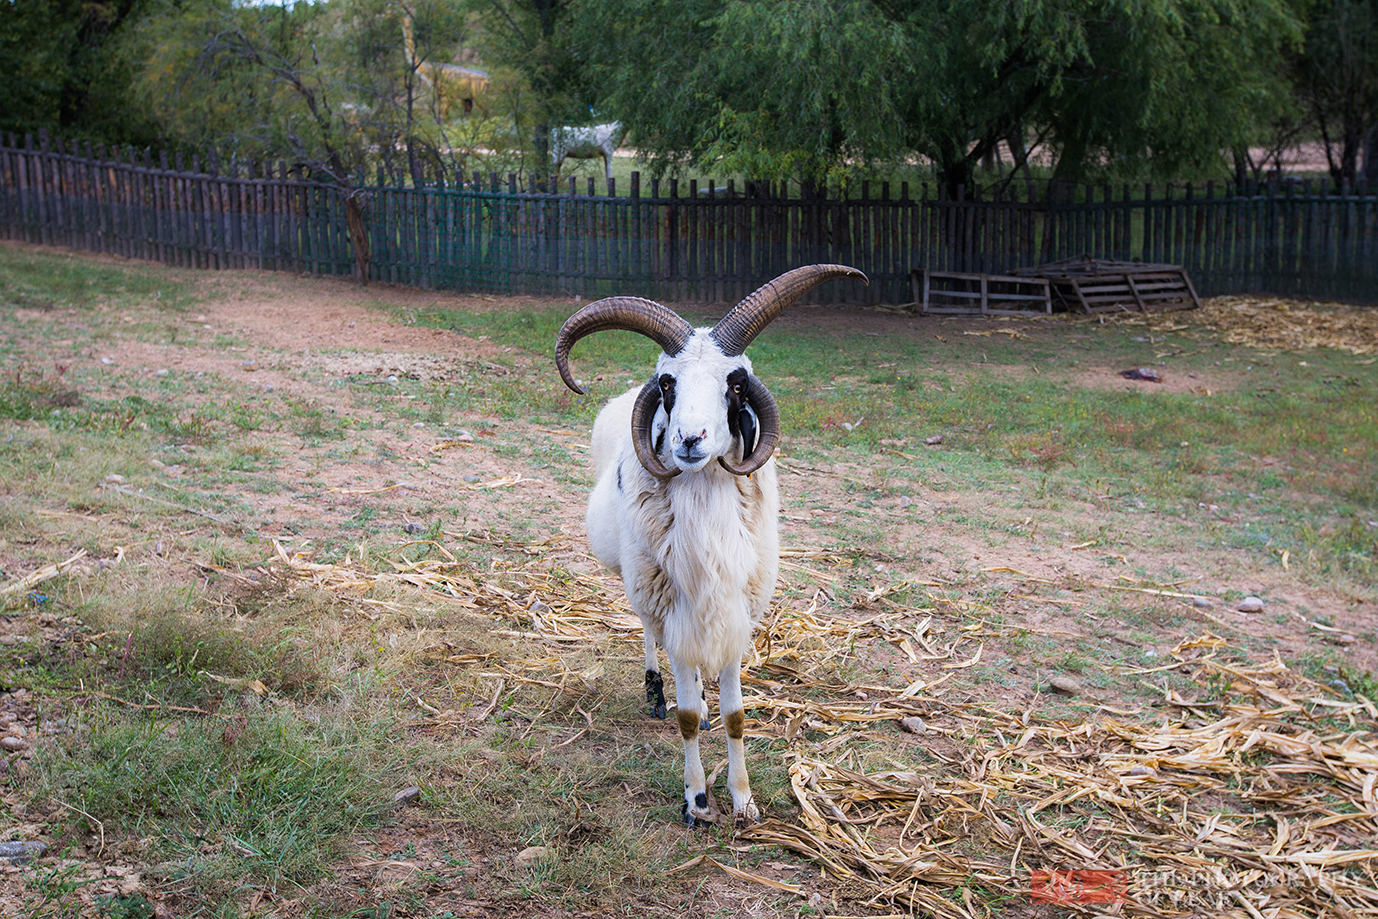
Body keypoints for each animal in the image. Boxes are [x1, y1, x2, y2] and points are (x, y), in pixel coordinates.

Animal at [553, 264, 865, 826]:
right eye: (668, 382)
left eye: (735, 382)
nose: (690, 439)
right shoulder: (673, 608)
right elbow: (687, 718)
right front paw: (697, 802)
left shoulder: (737, 613)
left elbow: (735, 715)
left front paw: (744, 802)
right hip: (643, 586)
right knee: (650, 637)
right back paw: (655, 690)